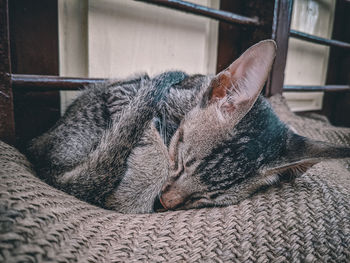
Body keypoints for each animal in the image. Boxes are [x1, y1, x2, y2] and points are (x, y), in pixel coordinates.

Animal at [26, 40, 350, 214]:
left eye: (206, 198)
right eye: (181, 161)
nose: (166, 202)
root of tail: (39, 145)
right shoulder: (126, 93)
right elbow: (146, 140)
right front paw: (136, 189)